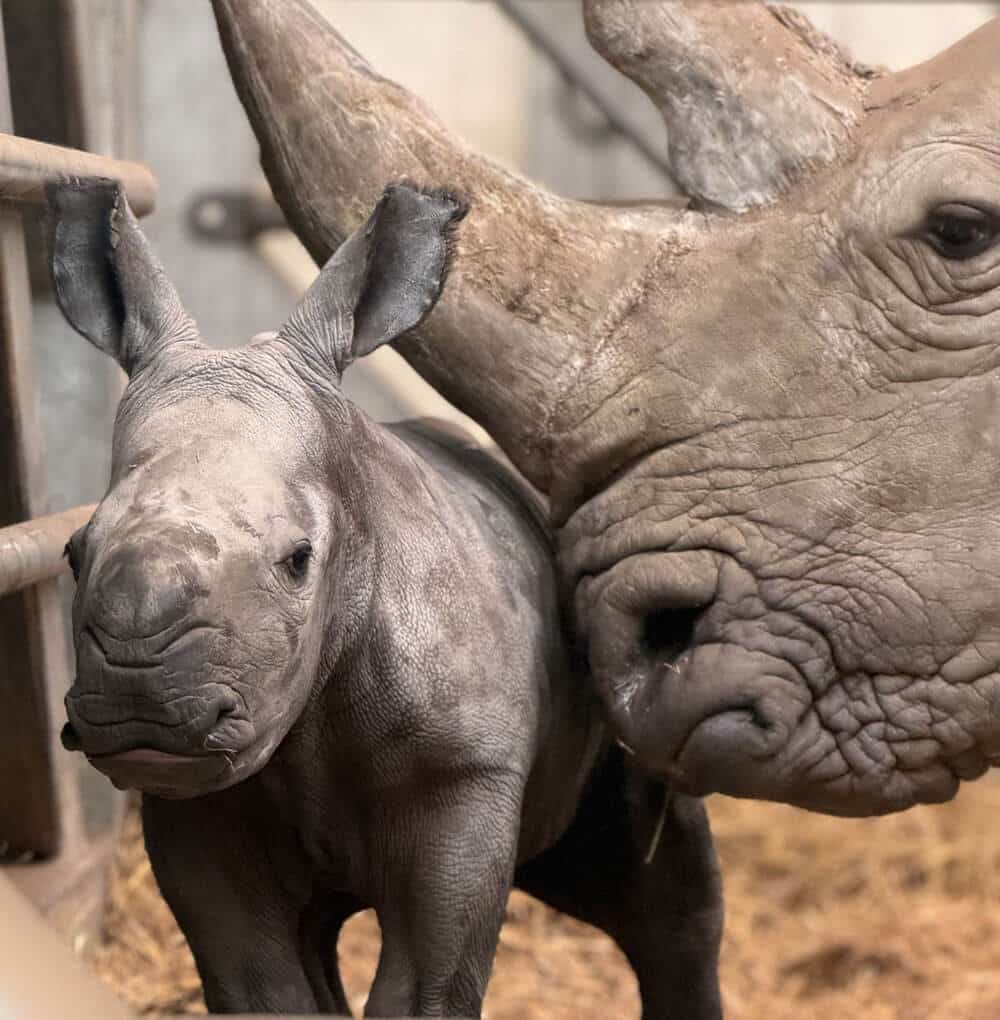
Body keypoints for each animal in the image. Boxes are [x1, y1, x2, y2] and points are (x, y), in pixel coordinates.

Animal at [51, 180, 722, 1018]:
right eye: (73, 554)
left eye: (298, 561)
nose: (139, 701)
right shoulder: (196, 804)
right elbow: (260, 987)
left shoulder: (462, 775)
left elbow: (425, 989)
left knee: (661, 895)